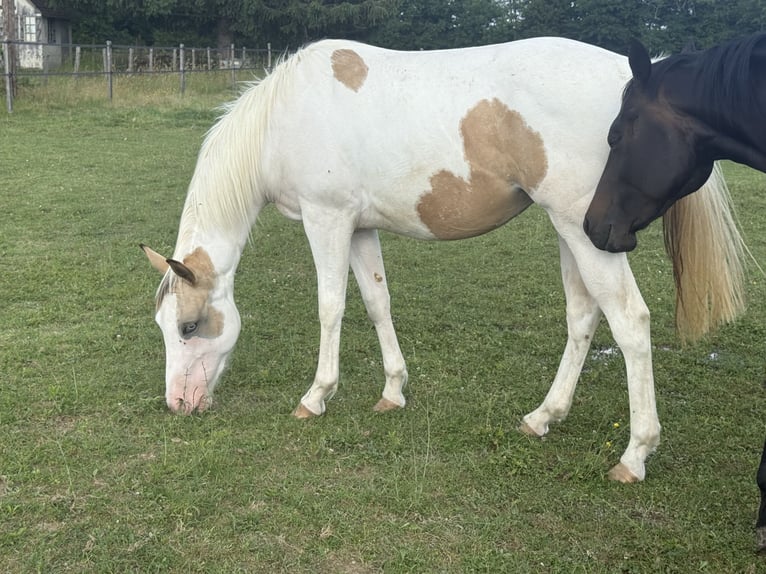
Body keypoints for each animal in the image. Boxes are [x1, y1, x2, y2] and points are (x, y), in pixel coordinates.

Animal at [141, 37, 745, 484]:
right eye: (165, 327)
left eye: (190, 326)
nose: (178, 403)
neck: (283, 118)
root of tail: (629, 74)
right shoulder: (360, 228)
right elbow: (377, 302)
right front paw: (392, 391)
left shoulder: (327, 220)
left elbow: (331, 307)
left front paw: (316, 397)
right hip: (570, 231)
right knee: (583, 317)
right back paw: (543, 417)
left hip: (587, 232)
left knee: (631, 323)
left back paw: (635, 455)